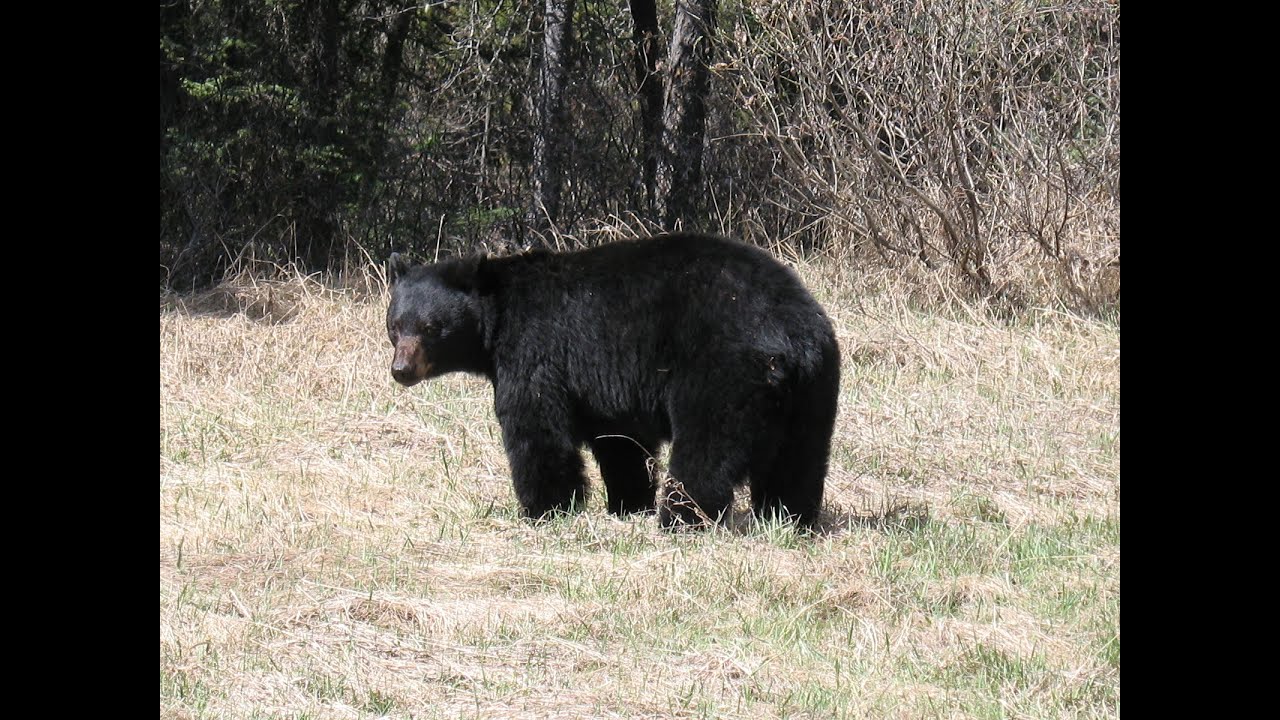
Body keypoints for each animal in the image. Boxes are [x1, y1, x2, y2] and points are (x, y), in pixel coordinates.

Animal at [385, 234, 840, 528]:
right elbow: (621, 442)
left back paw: (681, 517)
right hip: (815, 388)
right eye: (395, 325)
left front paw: (544, 509)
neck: (497, 319)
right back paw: (788, 516)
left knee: (707, 448)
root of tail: (788, 333)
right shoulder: (608, 388)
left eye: (430, 327)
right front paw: (626, 503)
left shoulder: (535, 350)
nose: (401, 370)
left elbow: (537, 428)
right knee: (799, 457)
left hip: (722, 371)